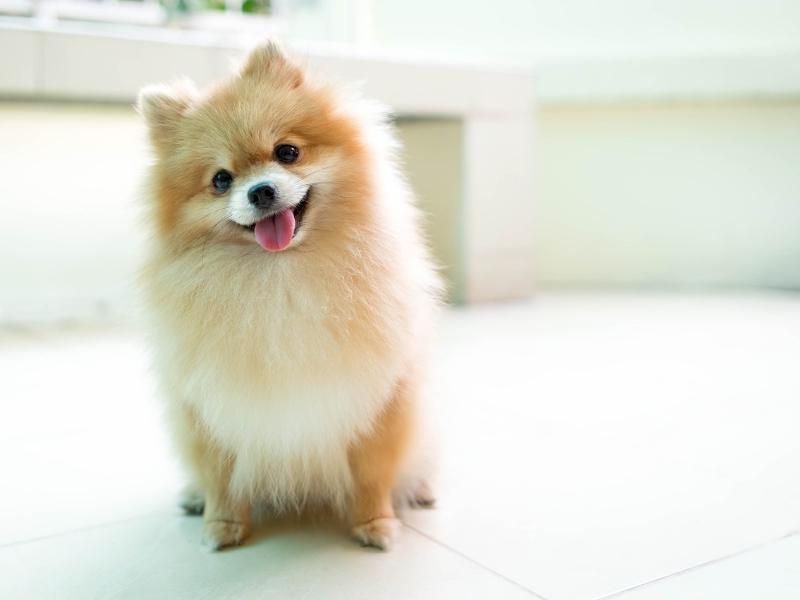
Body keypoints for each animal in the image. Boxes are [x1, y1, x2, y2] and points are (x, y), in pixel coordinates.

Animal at [135, 39, 440, 552]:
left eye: (288, 151)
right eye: (221, 179)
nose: (260, 191)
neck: (281, 278)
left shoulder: (378, 396)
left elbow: (372, 471)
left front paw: (375, 523)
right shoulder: (209, 406)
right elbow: (220, 475)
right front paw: (222, 525)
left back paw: (418, 489)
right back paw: (194, 499)